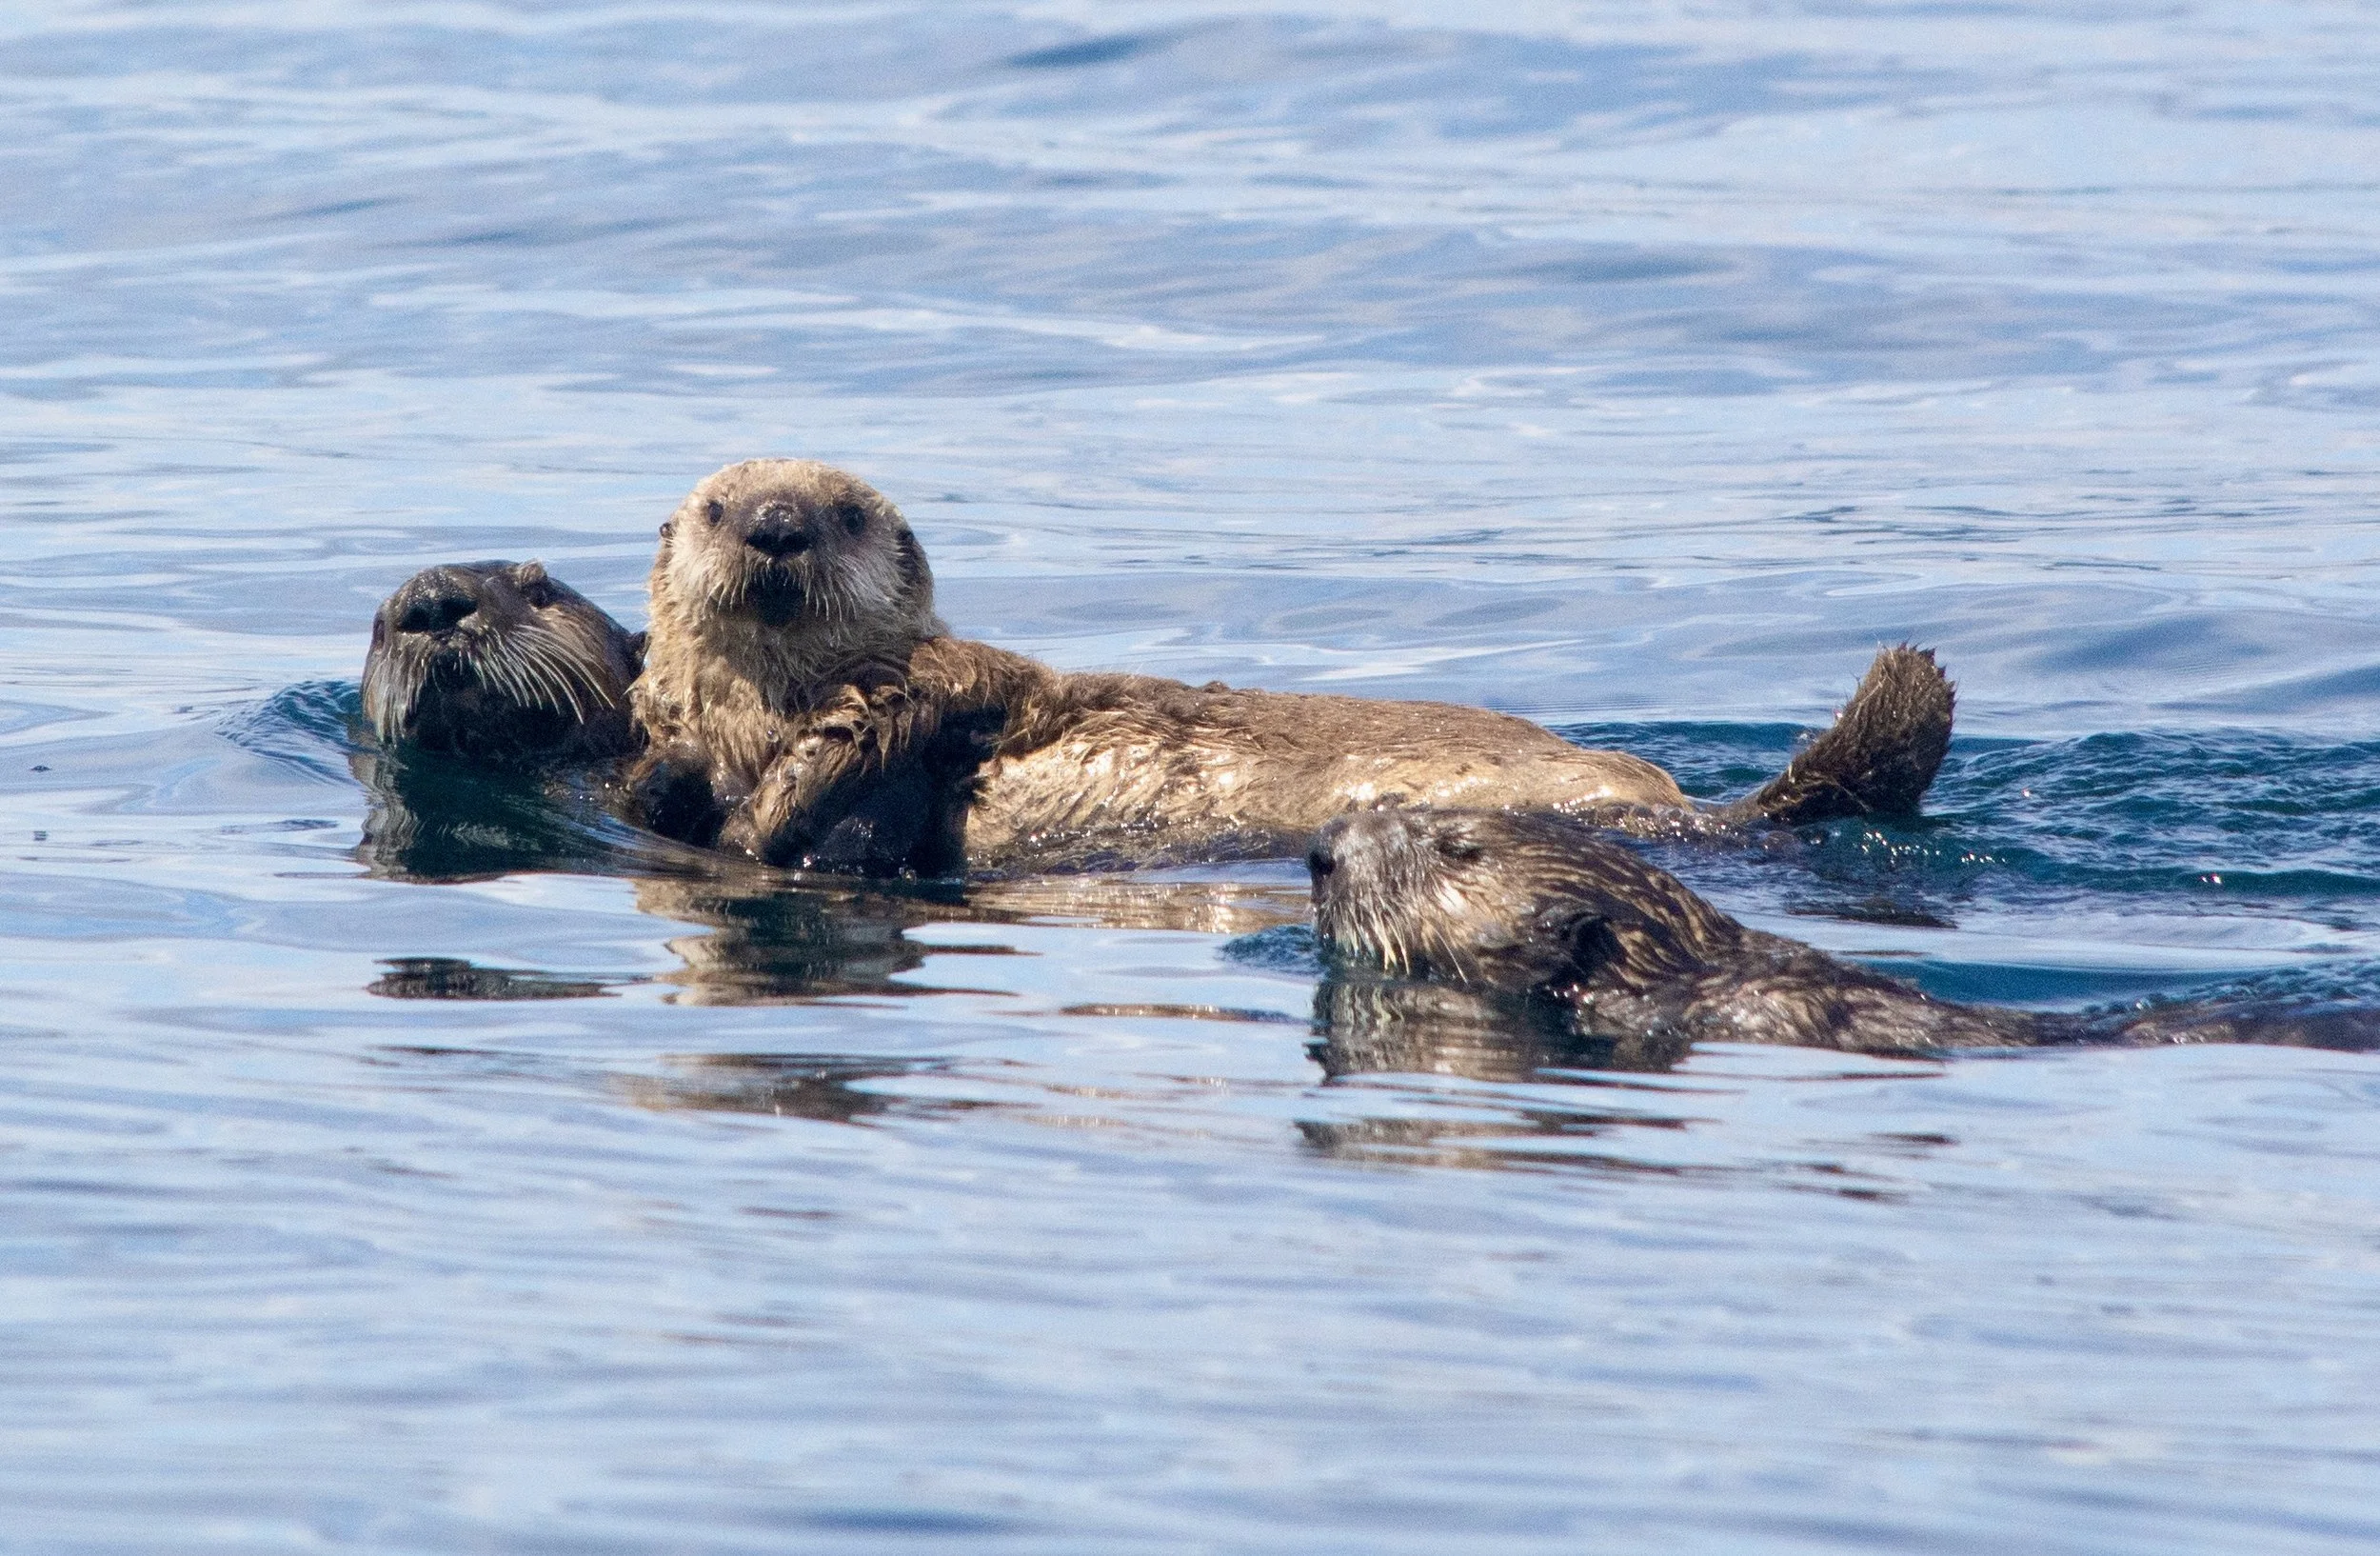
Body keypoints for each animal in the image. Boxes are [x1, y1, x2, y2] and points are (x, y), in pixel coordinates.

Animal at [628, 458, 1957, 873]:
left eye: (848, 512)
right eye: (718, 505)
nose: (777, 528)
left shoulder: (949, 677)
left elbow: (886, 725)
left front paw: (784, 803)